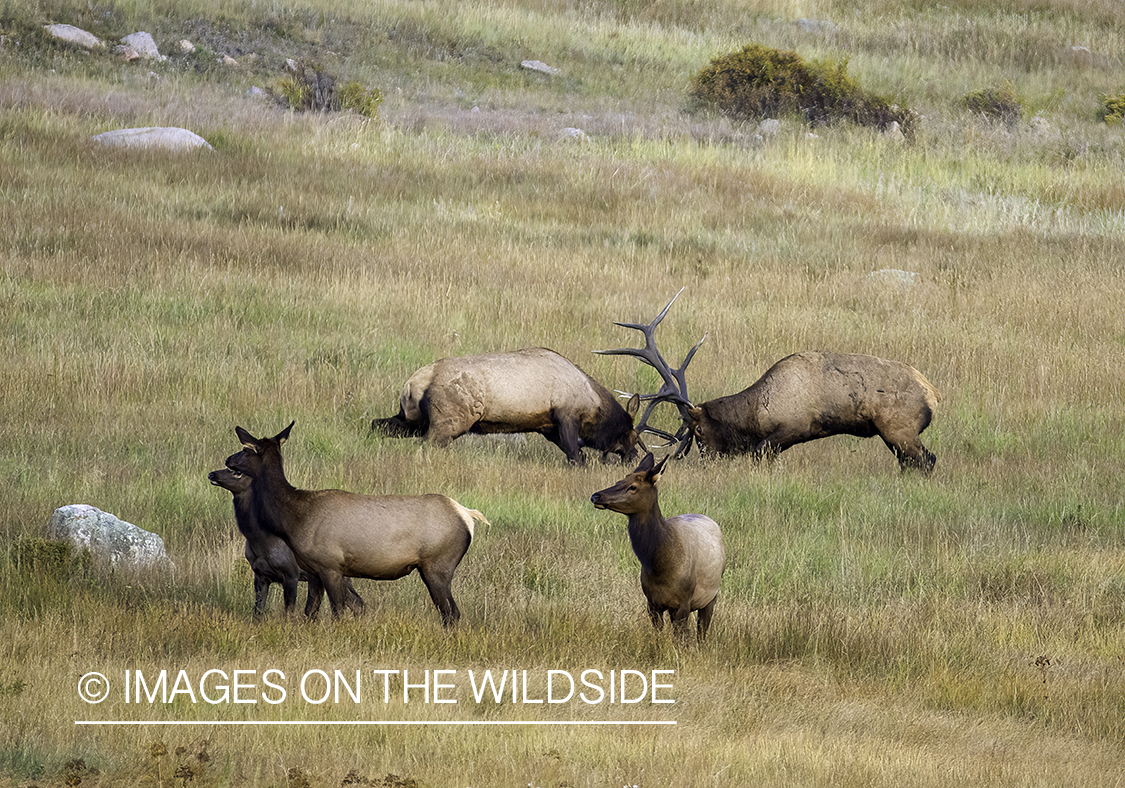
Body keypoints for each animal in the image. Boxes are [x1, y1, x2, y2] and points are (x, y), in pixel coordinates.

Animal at [204, 463, 357, 616]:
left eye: (238, 472)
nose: (211, 474)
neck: (261, 543)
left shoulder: (291, 574)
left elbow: (289, 612)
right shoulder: (260, 575)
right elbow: (257, 611)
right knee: (357, 602)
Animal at [223, 421, 483, 625]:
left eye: (245, 449)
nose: (227, 460)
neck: (294, 518)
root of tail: (466, 516)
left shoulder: (330, 564)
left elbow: (337, 613)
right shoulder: (314, 571)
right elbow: (312, 612)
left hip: (438, 564)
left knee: (451, 613)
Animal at [371, 346, 643, 463]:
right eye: (631, 433)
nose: (634, 456)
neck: (592, 403)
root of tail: (414, 382)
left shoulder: (547, 427)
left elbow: (577, 455)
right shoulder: (566, 416)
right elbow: (576, 456)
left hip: (412, 419)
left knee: (377, 425)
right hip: (449, 422)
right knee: (425, 446)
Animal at [594, 452, 724, 643]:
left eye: (633, 487)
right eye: (618, 481)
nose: (596, 496)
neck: (660, 566)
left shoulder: (683, 602)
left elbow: (682, 640)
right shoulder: (652, 603)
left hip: (711, 597)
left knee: (701, 631)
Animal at [598, 290, 940, 470]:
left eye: (698, 430)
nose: (707, 460)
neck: (756, 414)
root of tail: (935, 395)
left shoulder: (791, 429)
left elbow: (757, 454)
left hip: (899, 429)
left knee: (927, 460)